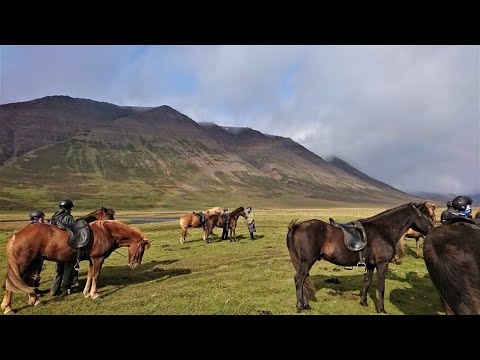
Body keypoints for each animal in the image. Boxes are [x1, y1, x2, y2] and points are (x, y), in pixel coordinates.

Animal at [0, 218, 150, 314]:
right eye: (141, 250)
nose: (135, 265)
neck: (107, 232)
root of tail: (17, 234)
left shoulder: (92, 259)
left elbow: (90, 275)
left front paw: (86, 293)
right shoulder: (98, 259)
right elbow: (96, 276)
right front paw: (95, 294)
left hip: (34, 262)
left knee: (28, 281)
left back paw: (35, 300)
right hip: (23, 263)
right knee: (12, 283)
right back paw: (8, 308)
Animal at [286, 201, 436, 314]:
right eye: (423, 214)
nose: (431, 228)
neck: (382, 231)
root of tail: (297, 226)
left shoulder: (370, 265)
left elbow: (367, 282)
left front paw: (364, 302)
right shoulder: (382, 264)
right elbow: (381, 286)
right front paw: (381, 309)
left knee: (304, 280)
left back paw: (306, 305)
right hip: (307, 262)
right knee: (299, 279)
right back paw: (300, 307)